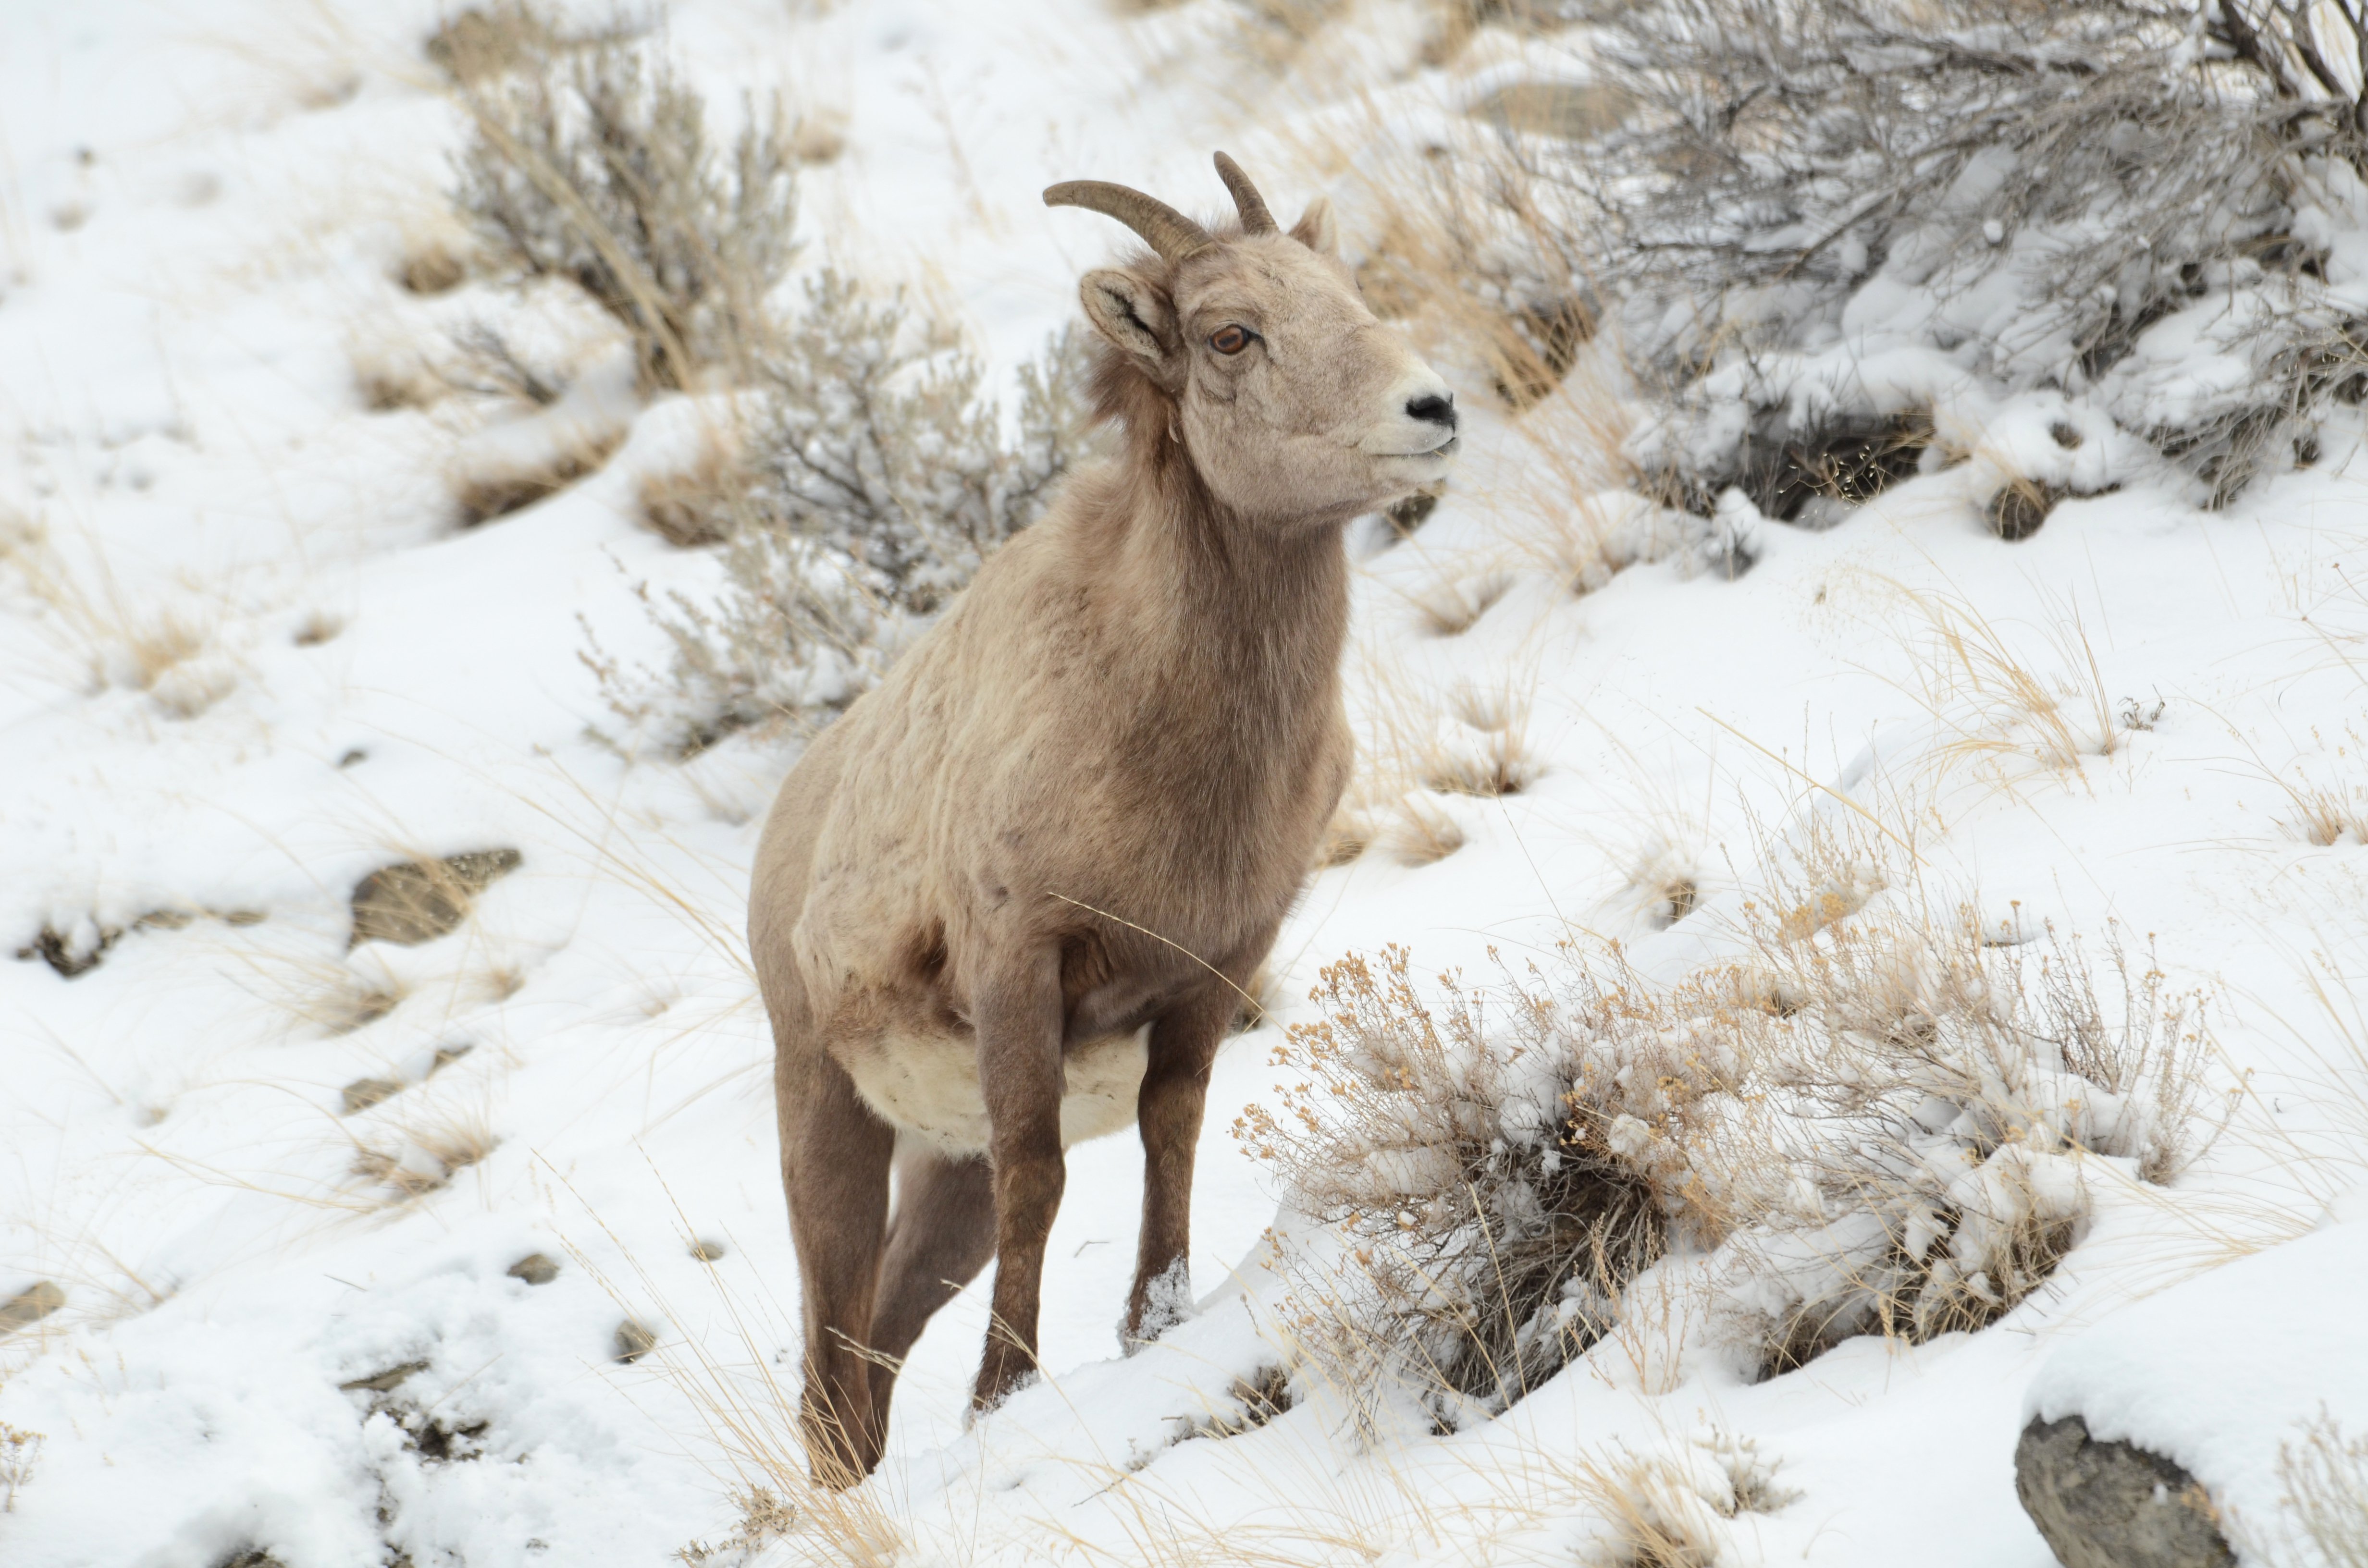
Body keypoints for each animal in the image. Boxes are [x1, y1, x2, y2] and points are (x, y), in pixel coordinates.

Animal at [749, 153, 1460, 1482]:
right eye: (1232, 334)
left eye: (1349, 294)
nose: (1432, 408)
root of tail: (783, 835)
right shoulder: (1020, 967)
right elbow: (1041, 1179)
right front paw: (1002, 1397)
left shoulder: (1216, 965)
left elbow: (1170, 1133)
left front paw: (1153, 1322)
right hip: (826, 1118)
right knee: (829, 1368)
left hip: (943, 1180)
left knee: (873, 1356)